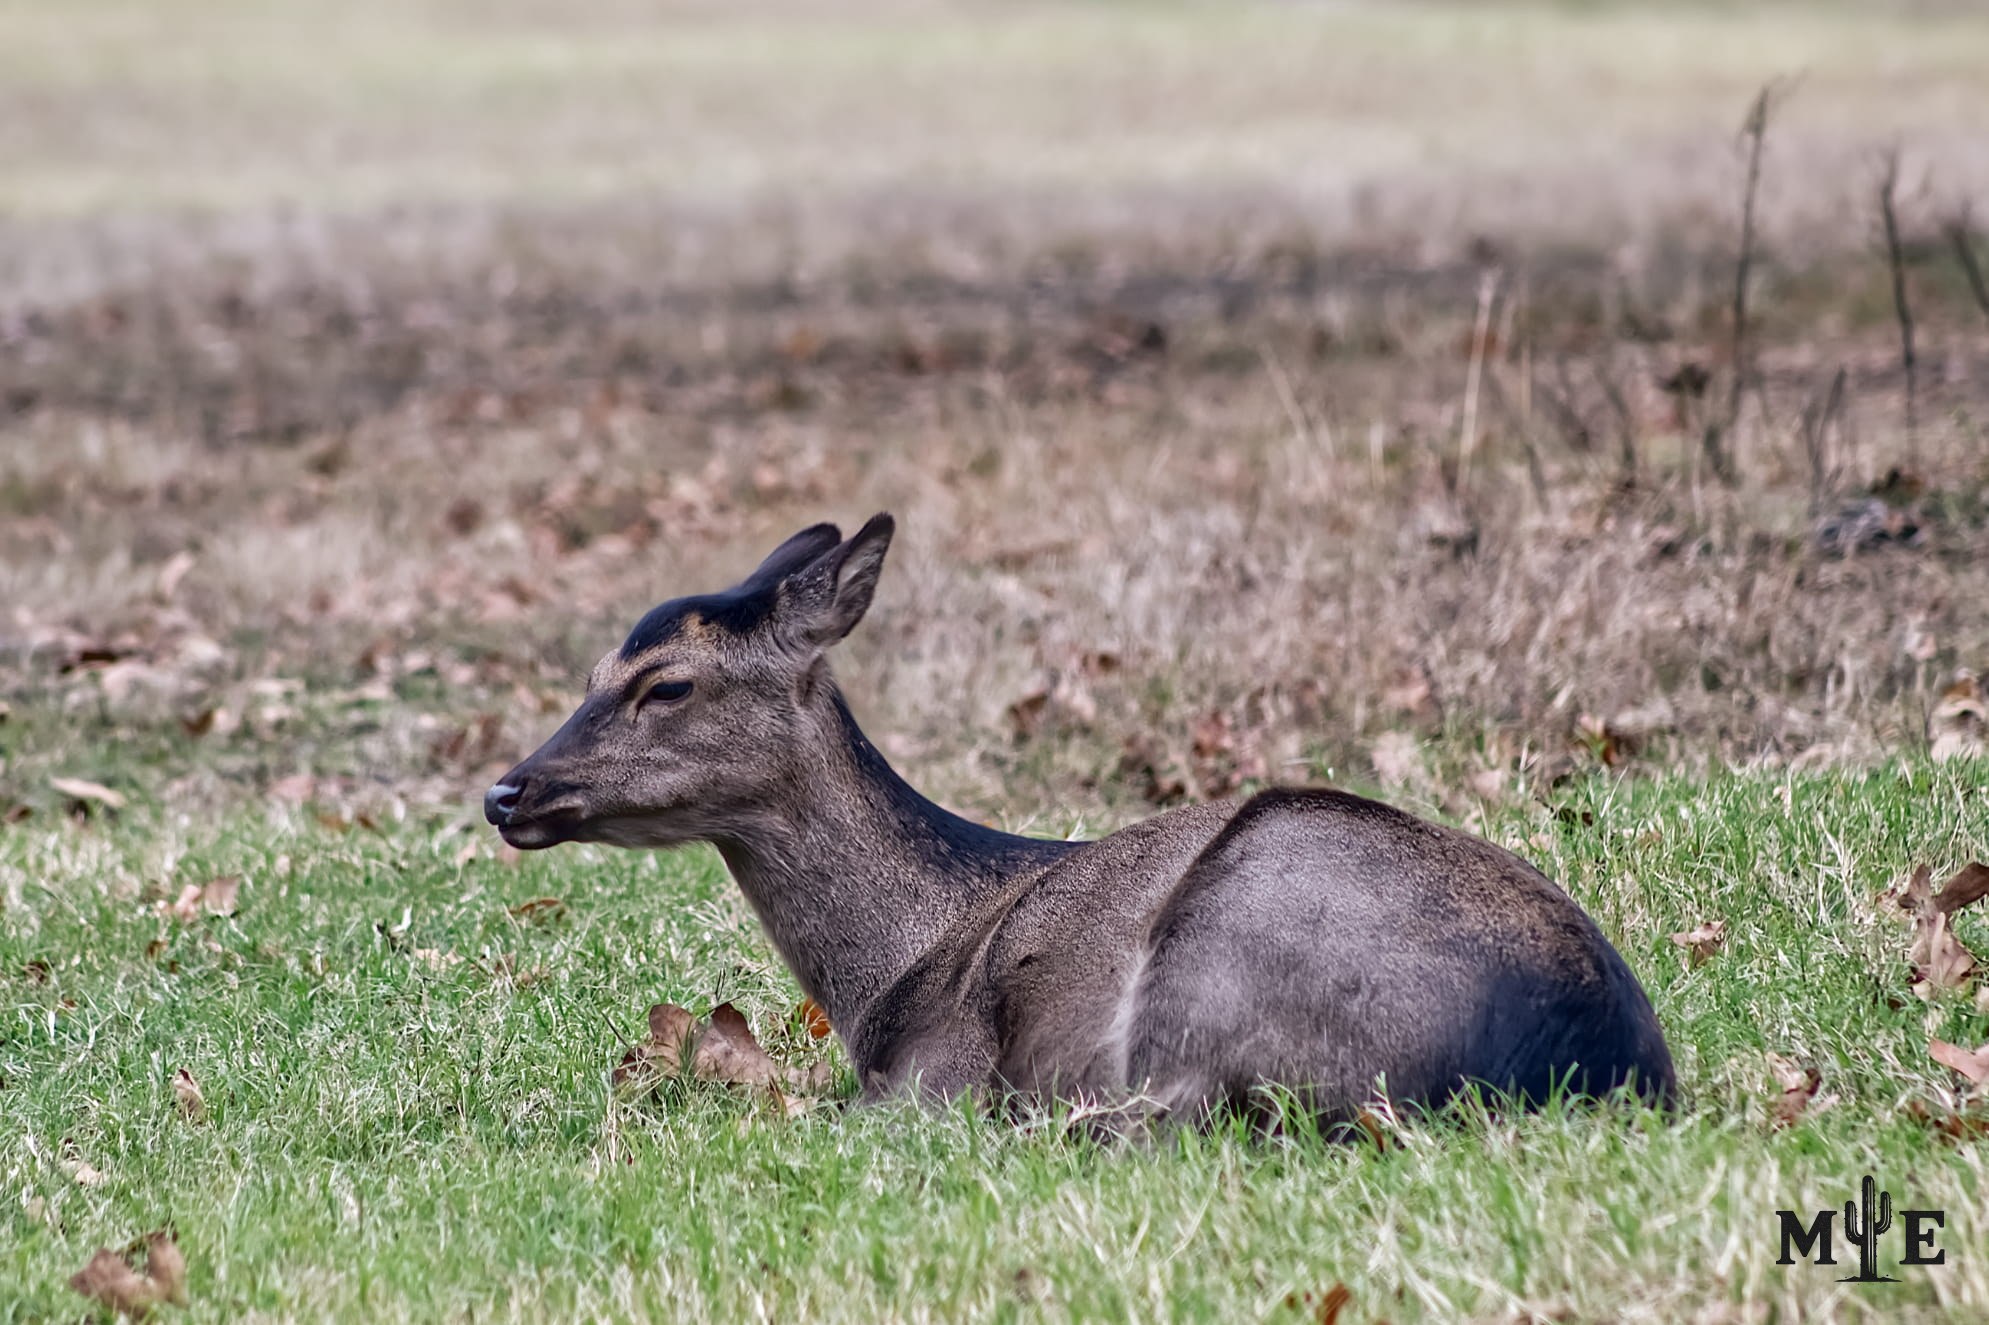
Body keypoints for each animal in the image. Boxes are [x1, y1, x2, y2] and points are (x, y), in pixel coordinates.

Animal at [486, 514, 1675, 1124]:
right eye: (591, 674)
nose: (508, 789)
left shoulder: (928, 1074)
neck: (888, 975)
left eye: (667, 685)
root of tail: (1583, 1063)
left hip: (1231, 942)